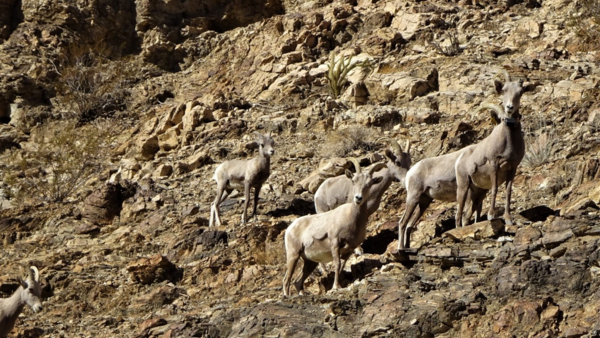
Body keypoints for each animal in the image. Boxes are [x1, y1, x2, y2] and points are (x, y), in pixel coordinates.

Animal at [284, 163, 386, 296]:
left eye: (369, 184)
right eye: (353, 181)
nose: (358, 198)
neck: (351, 218)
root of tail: (290, 229)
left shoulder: (348, 250)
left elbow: (341, 266)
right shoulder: (335, 244)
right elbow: (337, 264)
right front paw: (336, 287)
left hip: (310, 262)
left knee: (297, 281)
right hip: (293, 256)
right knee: (286, 279)